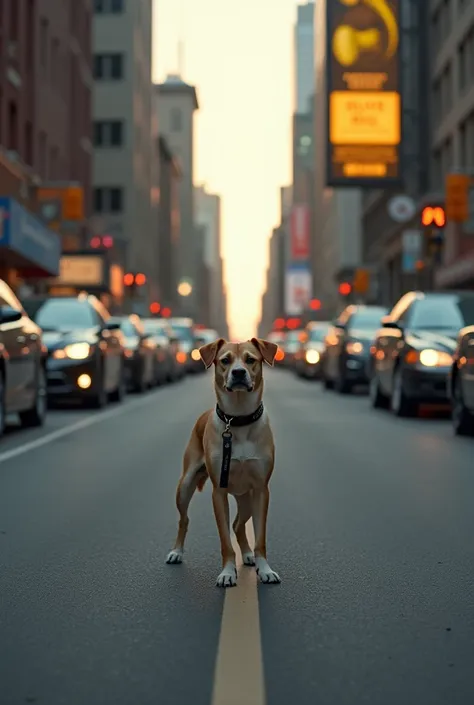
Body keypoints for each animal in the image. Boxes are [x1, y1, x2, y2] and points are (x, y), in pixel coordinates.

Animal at [166, 338, 282, 584]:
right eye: (225, 360)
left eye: (250, 359)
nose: (238, 372)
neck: (237, 419)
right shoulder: (218, 492)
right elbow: (224, 540)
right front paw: (228, 573)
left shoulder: (261, 490)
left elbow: (260, 538)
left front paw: (265, 569)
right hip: (186, 484)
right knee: (184, 519)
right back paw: (176, 552)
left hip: (246, 498)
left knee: (238, 524)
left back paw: (247, 555)